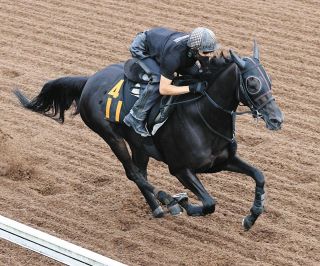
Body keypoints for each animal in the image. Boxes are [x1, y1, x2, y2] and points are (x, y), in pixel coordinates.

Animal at [14, 41, 282, 231]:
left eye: (269, 79)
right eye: (252, 82)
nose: (277, 119)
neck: (202, 115)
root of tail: (89, 80)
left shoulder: (221, 162)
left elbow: (259, 175)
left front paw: (252, 216)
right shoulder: (180, 169)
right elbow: (209, 204)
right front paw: (184, 201)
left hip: (139, 145)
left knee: (140, 172)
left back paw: (158, 207)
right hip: (111, 136)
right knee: (133, 173)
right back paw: (169, 200)